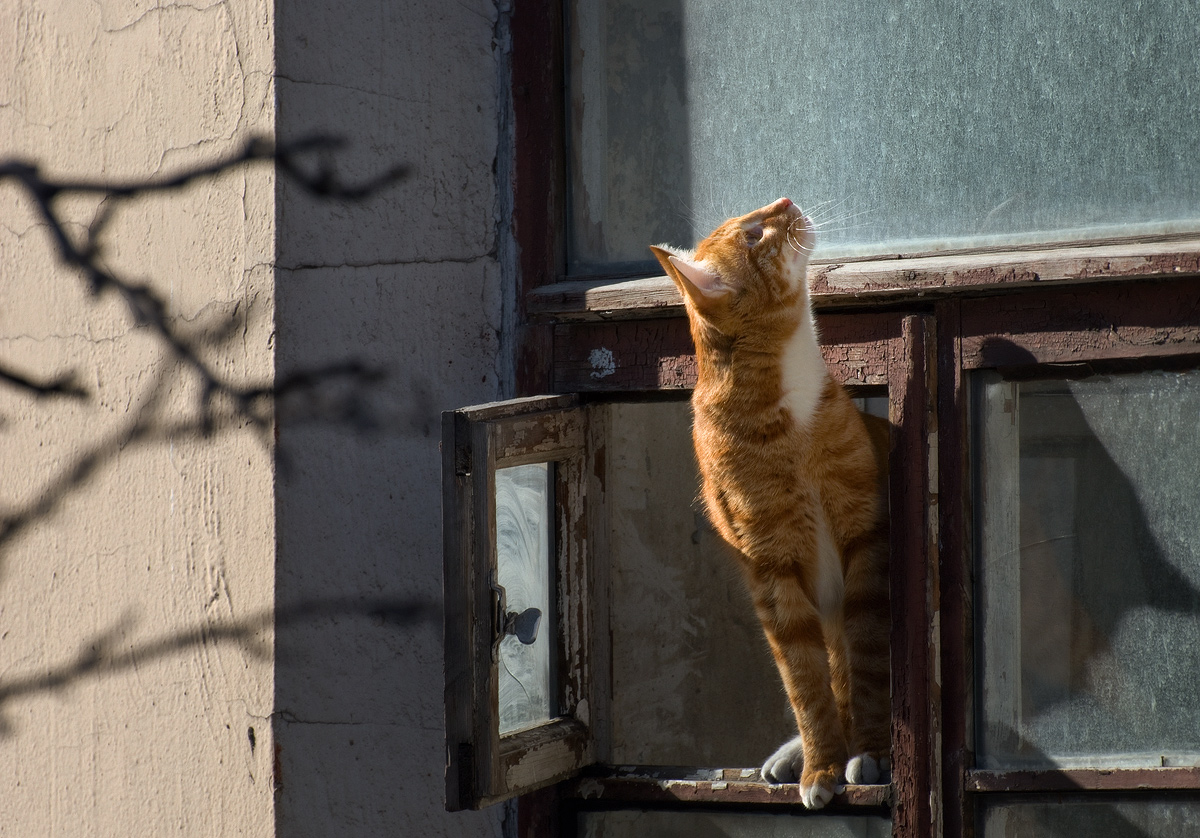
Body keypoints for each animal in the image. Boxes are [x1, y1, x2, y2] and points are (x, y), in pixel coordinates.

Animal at [648, 199, 892, 806]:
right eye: (754, 234)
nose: (786, 202)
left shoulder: (867, 537)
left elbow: (866, 662)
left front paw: (872, 750)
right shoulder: (771, 570)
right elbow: (805, 682)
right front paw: (822, 766)